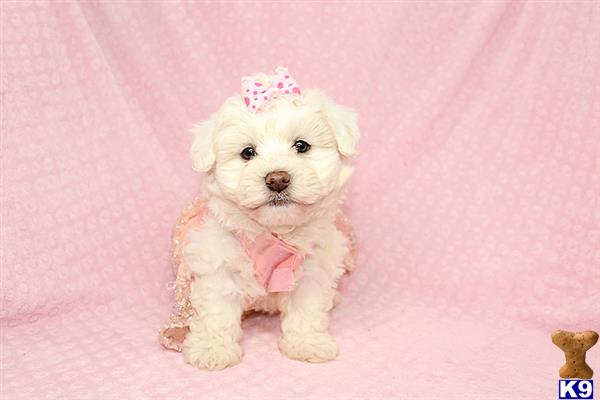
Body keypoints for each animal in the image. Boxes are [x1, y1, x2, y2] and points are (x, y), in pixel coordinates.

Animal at [183, 72, 358, 372]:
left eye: (301, 146)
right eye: (247, 152)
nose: (277, 179)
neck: (274, 233)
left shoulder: (312, 270)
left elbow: (307, 308)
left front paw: (307, 343)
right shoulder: (218, 263)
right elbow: (217, 310)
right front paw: (212, 349)